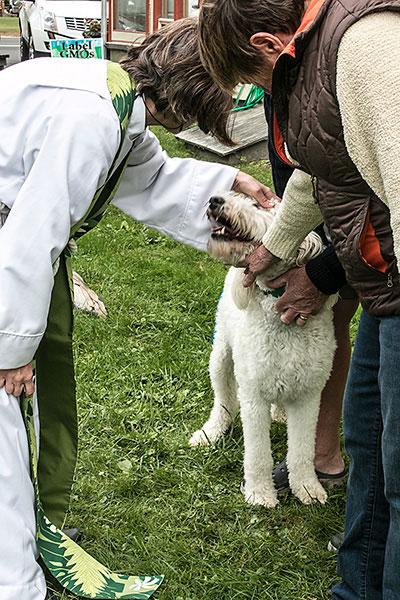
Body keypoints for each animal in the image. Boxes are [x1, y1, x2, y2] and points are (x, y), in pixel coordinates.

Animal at [189, 191, 336, 506]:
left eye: (257, 205)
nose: (215, 199)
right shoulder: (253, 394)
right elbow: (257, 453)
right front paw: (259, 493)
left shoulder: (308, 395)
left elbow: (303, 450)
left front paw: (307, 487)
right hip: (220, 357)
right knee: (224, 402)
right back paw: (210, 432)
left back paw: (279, 413)